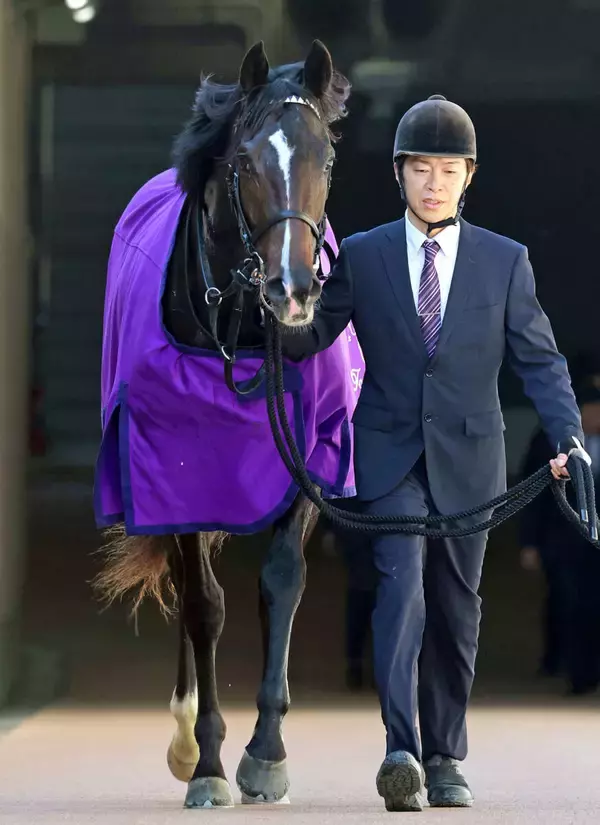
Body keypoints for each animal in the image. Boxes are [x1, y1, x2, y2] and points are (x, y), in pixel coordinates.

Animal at [92, 40, 364, 809]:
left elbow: (281, 583)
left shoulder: (303, 462)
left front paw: (265, 756)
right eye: (245, 160)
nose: (293, 290)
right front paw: (209, 762)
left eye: (325, 157)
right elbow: (203, 605)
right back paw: (185, 738)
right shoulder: (174, 465)